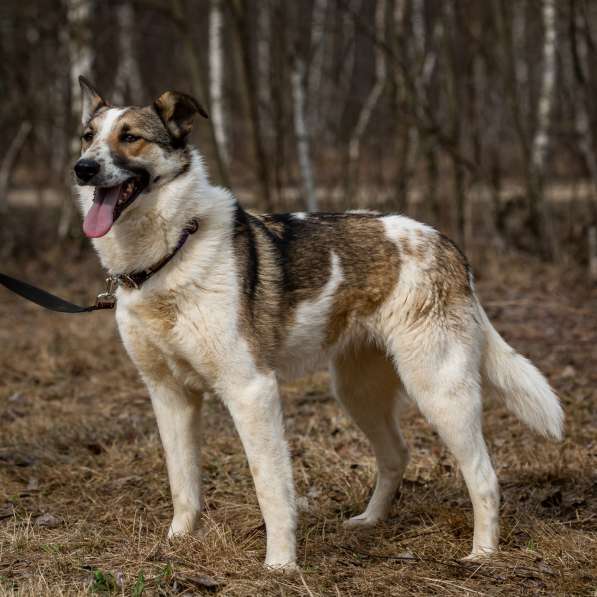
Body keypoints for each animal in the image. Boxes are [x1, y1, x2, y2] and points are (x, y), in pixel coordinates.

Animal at [72, 77, 560, 572]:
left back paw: (483, 553)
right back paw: (370, 521)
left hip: (439, 390)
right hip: (358, 391)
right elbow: (183, 484)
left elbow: (270, 487)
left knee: (484, 476)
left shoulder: (251, 391)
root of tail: (447, 244)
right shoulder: (170, 396)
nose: (82, 168)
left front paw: (280, 565)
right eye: (88, 136)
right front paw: (176, 544)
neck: (170, 254)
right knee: (396, 455)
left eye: (131, 137)